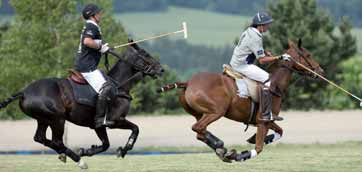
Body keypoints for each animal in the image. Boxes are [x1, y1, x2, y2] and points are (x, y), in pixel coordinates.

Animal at [0, 43, 163, 169]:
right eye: (146, 54)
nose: (161, 69)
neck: (119, 86)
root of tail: (24, 92)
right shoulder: (114, 120)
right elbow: (135, 129)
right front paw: (124, 149)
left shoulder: (98, 125)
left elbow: (106, 144)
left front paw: (87, 151)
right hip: (57, 119)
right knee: (57, 141)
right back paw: (79, 161)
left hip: (43, 119)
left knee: (41, 138)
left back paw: (64, 155)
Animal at [160, 40, 324, 163]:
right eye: (308, 54)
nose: (320, 71)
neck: (275, 84)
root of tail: (188, 83)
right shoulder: (263, 121)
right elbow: (259, 148)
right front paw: (239, 155)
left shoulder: (267, 121)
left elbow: (280, 131)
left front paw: (253, 139)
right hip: (216, 111)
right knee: (198, 128)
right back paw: (222, 148)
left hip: (199, 113)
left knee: (200, 132)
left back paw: (221, 149)